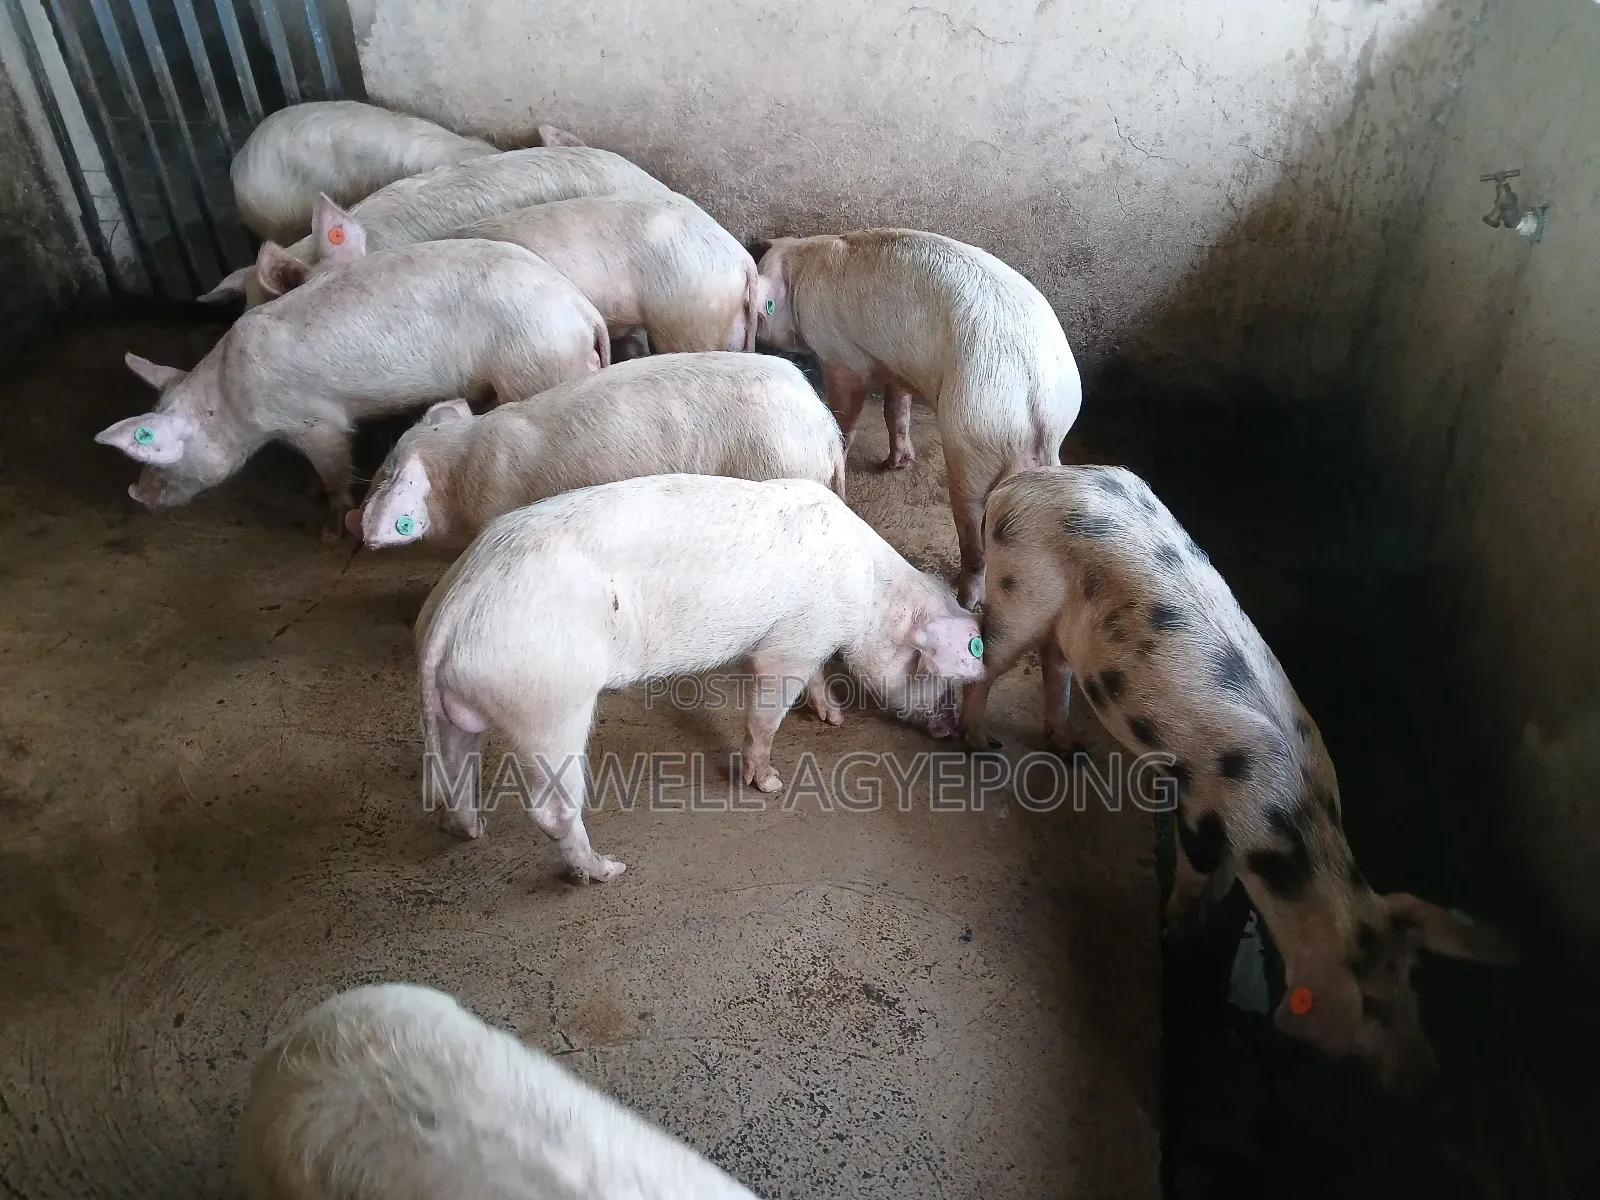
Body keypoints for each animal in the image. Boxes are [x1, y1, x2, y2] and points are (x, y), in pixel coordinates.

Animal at [96, 238, 609, 537]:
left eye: (162, 455)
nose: (135, 493)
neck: (230, 402)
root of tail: (581, 308)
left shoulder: (314, 421)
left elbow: (334, 464)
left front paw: (330, 523)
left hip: (536, 364)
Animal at [414, 474, 985, 879]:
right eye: (936, 676)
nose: (948, 730)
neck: (869, 597)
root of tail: (456, 603)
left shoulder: (809, 642)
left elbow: (818, 677)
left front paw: (834, 718)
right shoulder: (790, 644)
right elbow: (765, 714)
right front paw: (770, 784)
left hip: (466, 704)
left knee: (459, 768)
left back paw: (473, 829)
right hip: (548, 701)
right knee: (550, 808)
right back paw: (608, 870)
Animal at [752, 229, 1082, 608]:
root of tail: (1040, 404)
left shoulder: (843, 357)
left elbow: (846, 411)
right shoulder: (896, 366)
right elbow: (896, 409)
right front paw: (895, 465)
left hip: (973, 437)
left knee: (974, 535)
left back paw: (964, 599)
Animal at [961, 465, 1518, 1091]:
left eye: (1415, 977)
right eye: (1370, 1007)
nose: (1428, 1081)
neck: (1290, 829)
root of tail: (1026, 483)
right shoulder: (1199, 811)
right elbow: (1194, 875)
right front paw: (1176, 937)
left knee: (1054, 664)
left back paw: (1070, 750)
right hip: (1019, 591)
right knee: (984, 656)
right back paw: (977, 743)